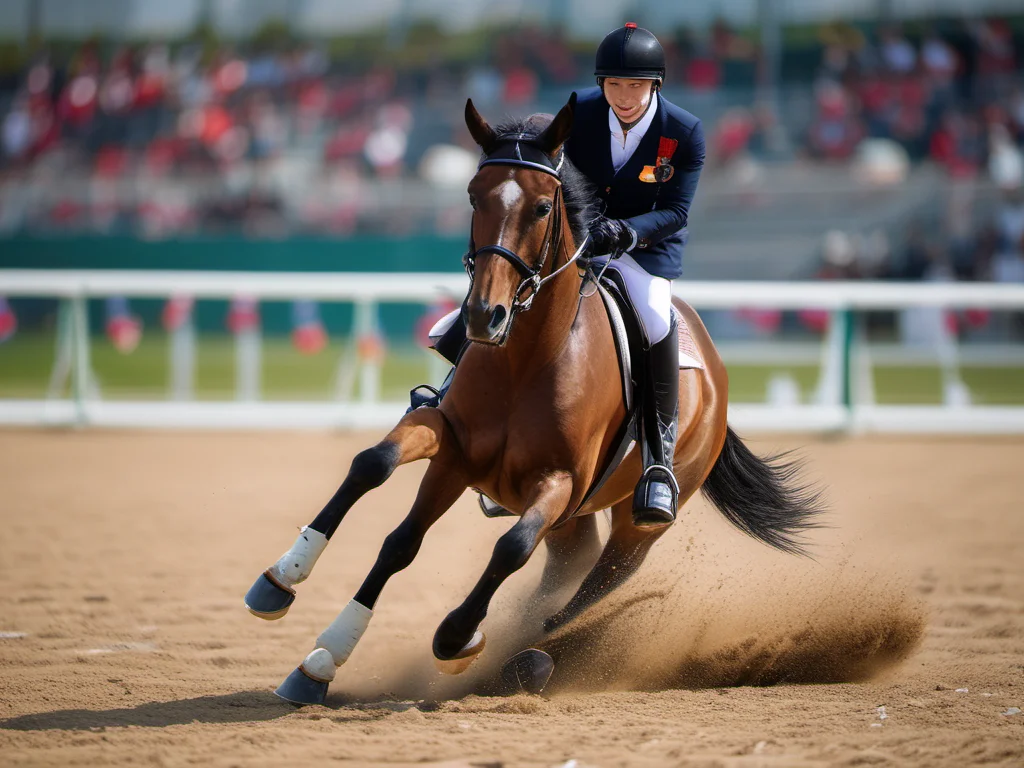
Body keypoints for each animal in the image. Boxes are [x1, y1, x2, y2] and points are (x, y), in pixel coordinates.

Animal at [244, 93, 823, 705]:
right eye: (473, 195)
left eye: (545, 207)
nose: (484, 316)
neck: (524, 359)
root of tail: (712, 364)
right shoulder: (452, 448)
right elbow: (382, 493)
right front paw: (294, 607)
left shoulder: (559, 482)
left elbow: (510, 548)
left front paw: (458, 637)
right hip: (570, 523)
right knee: (565, 570)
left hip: (640, 523)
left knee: (591, 588)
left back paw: (529, 659)